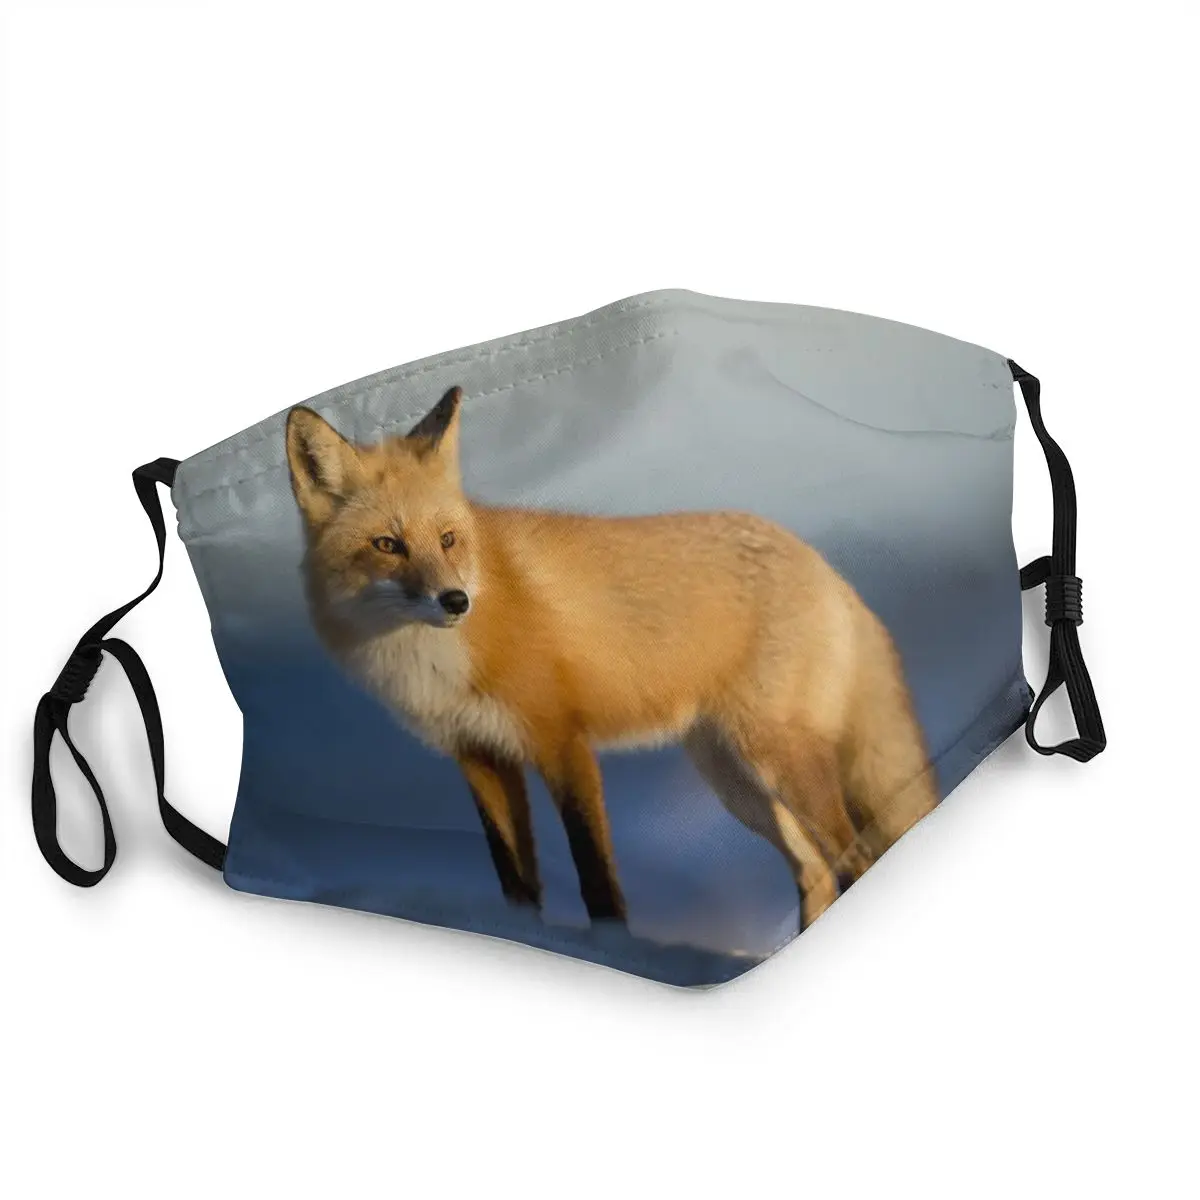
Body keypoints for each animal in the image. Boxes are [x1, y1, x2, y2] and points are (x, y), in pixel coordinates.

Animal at [284, 385, 938, 932]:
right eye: (387, 545)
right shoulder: (479, 757)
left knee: (858, 855)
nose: (455, 601)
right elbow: (515, 883)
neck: (433, 661)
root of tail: (822, 563)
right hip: (737, 785)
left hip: (779, 761)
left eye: (447, 540)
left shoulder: (561, 741)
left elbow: (596, 878)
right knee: (818, 871)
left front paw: (612, 949)